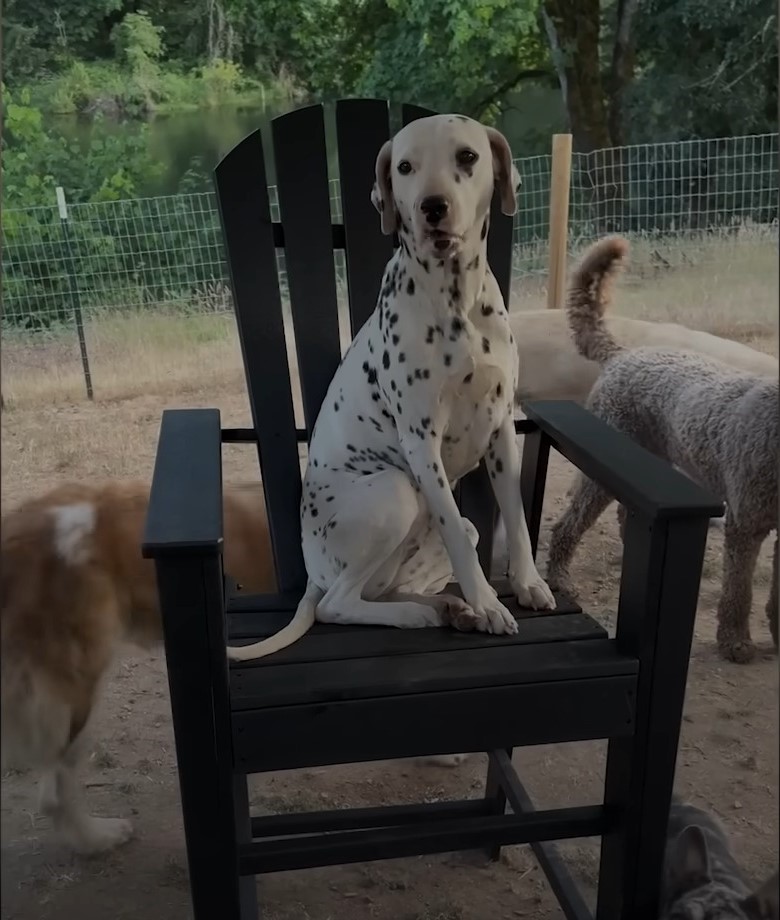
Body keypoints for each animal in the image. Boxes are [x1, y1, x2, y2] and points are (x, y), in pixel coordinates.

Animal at [229, 115, 556, 660]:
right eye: (405, 167)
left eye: (468, 157)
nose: (432, 206)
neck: (456, 301)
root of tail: (311, 573)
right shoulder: (422, 442)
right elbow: (457, 535)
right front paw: (489, 604)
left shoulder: (501, 432)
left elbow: (515, 518)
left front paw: (526, 583)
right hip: (395, 492)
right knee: (337, 605)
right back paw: (423, 613)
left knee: (383, 588)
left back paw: (448, 607)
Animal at [544, 235, 776, 660]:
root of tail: (621, 353)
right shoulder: (745, 526)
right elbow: (739, 593)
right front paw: (735, 642)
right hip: (604, 472)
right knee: (568, 525)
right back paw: (560, 579)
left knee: (626, 513)